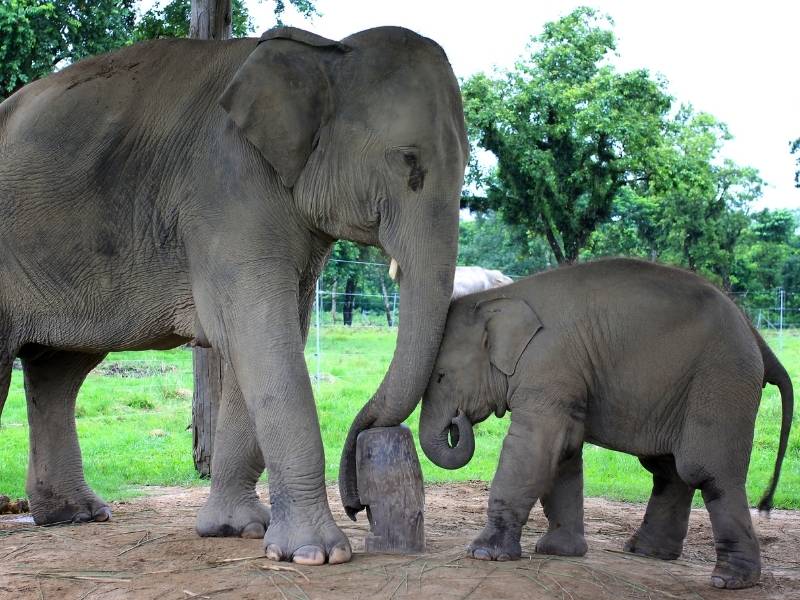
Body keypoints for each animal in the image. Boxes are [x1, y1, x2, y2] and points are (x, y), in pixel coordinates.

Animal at [0, 26, 468, 566]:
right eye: (407, 159)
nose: (358, 505)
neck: (324, 52)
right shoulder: (226, 191)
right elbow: (257, 335)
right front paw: (316, 554)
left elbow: (266, 337)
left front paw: (235, 529)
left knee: (58, 371)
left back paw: (77, 514)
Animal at [418, 258, 793, 589]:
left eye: (440, 376)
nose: (457, 421)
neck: (503, 295)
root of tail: (757, 337)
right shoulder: (566, 377)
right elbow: (563, 451)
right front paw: (559, 551)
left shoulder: (548, 365)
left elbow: (536, 446)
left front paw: (483, 554)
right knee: (668, 470)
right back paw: (646, 552)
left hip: (721, 380)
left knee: (706, 472)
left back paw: (730, 580)